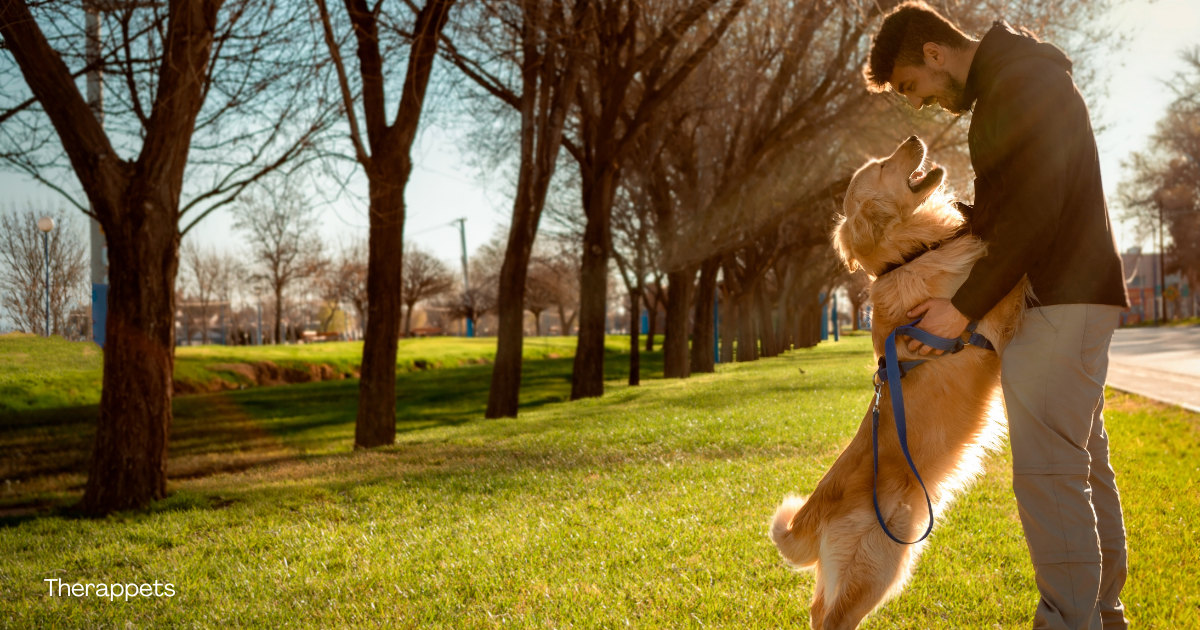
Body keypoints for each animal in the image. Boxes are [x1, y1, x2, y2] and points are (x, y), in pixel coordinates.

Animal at [772, 135, 1027, 624]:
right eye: (883, 166)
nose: (912, 138)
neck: (908, 257)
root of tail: (815, 510)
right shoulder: (990, 307)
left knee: (816, 608)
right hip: (879, 563)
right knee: (835, 618)